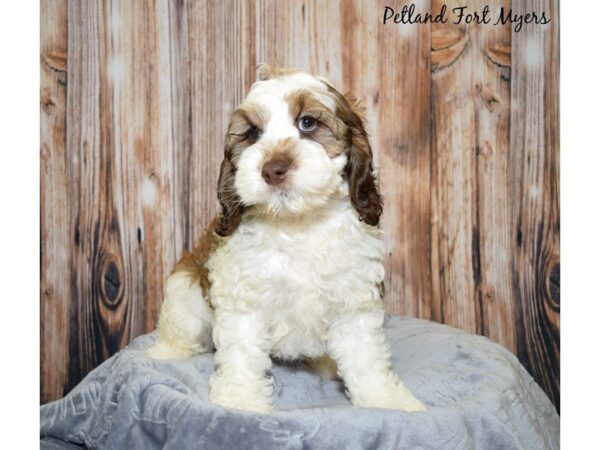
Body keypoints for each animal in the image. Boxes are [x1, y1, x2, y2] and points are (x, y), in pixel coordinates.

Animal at [146, 63, 426, 414]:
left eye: (307, 123)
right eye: (253, 133)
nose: (273, 169)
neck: (297, 223)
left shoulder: (354, 300)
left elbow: (366, 357)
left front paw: (385, 400)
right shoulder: (243, 300)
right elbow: (242, 355)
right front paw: (240, 402)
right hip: (184, 293)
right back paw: (167, 352)